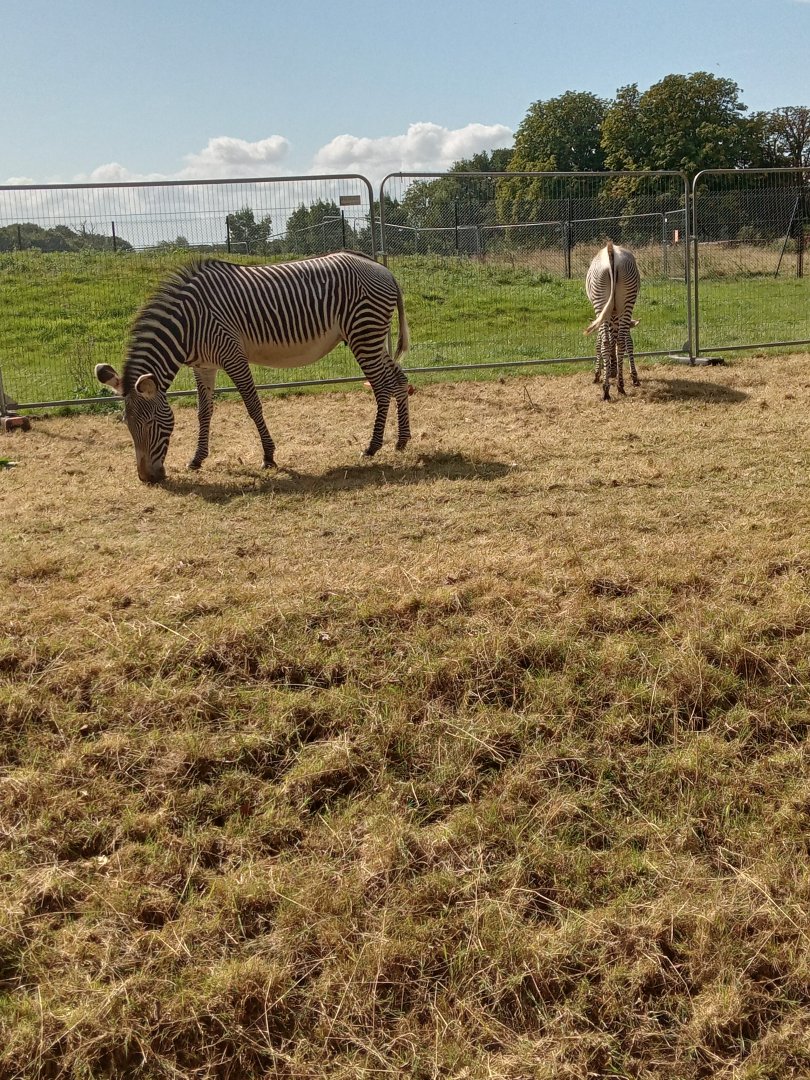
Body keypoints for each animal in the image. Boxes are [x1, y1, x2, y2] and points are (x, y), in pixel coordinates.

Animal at [95, 251, 412, 483]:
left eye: (150, 424)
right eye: (127, 425)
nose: (147, 478)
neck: (187, 325)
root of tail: (383, 269)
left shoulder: (232, 355)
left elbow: (252, 404)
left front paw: (269, 456)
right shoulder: (204, 365)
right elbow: (203, 412)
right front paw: (197, 459)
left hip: (364, 334)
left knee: (381, 386)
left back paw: (373, 446)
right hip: (371, 337)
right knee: (398, 379)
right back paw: (402, 441)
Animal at [584, 241, 641, 401]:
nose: (612, 372)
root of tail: (611, 250)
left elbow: (599, 341)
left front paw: (599, 374)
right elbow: (626, 342)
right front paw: (632, 376)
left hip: (600, 301)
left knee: (605, 342)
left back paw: (606, 390)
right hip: (626, 302)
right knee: (618, 342)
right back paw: (619, 386)